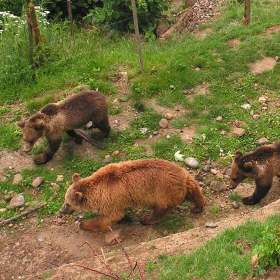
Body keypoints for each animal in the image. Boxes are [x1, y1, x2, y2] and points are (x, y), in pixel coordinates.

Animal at [60, 159, 205, 231]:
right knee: (194, 190)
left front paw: (84, 224)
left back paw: (146, 219)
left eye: (68, 203)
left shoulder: (112, 199)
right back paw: (197, 207)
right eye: (65, 200)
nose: (61, 211)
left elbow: (109, 217)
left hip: (162, 192)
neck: (98, 191)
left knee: (160, 209)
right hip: (183, 177)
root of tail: (180, 177)